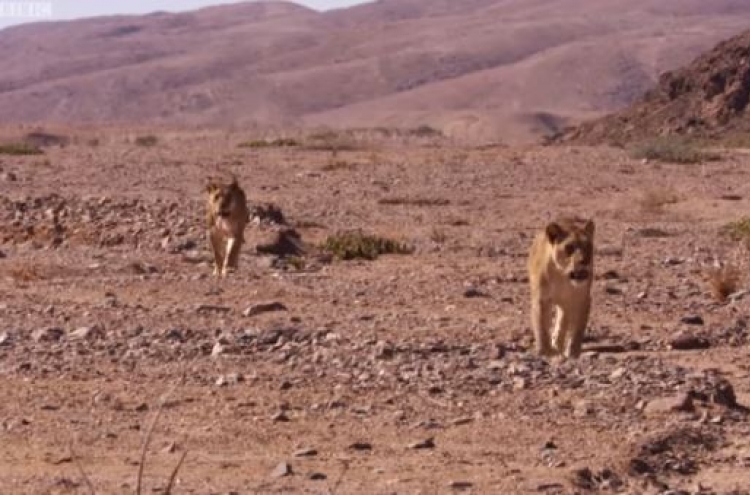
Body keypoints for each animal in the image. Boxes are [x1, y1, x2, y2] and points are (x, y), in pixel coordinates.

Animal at [528, 219, 600, 358]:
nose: (585, 261)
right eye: (569, 247)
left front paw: (573, 353)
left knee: (562, 322)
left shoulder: (583, 299)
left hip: (565, 303)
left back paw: (558, 344)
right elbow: (541, 326)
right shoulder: (541, 299)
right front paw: (545, 351)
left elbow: (578, 329)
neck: (562, 276)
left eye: (588, 246)